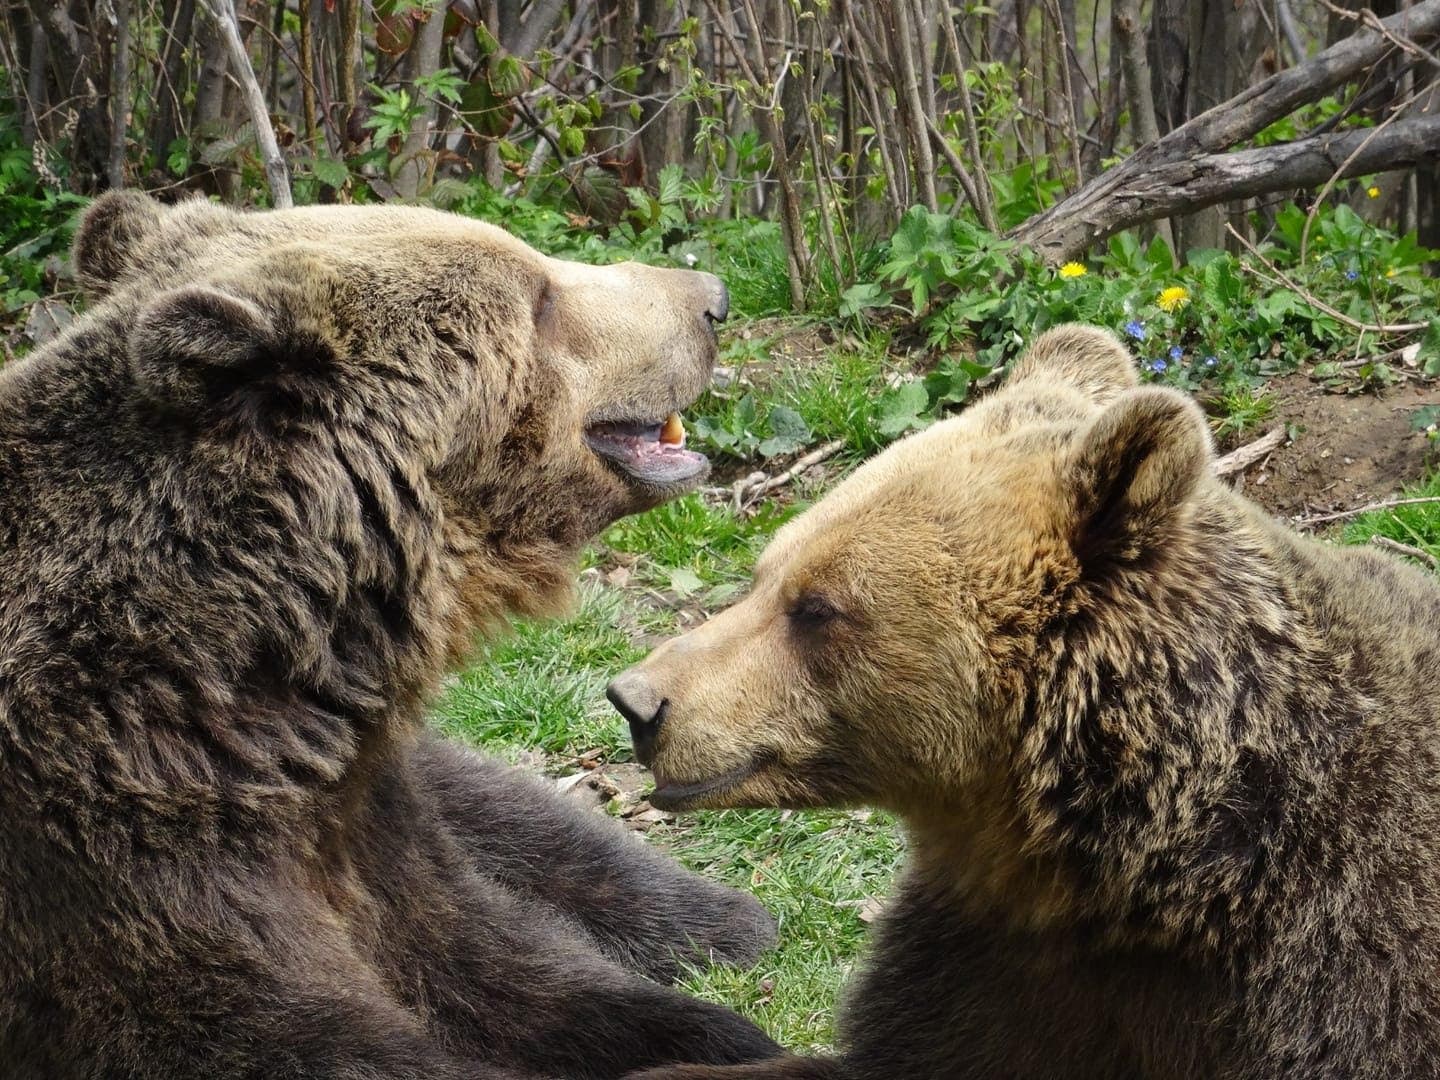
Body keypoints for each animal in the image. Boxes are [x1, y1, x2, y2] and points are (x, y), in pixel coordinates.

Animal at [0, 191, 785, 1080]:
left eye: (535, 264)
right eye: (539, 297)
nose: (712, 298)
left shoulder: (355, 805)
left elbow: (490, 959)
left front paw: (721, 1034)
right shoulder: (117, 853)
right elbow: (265, 1026)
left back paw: (718, 916)